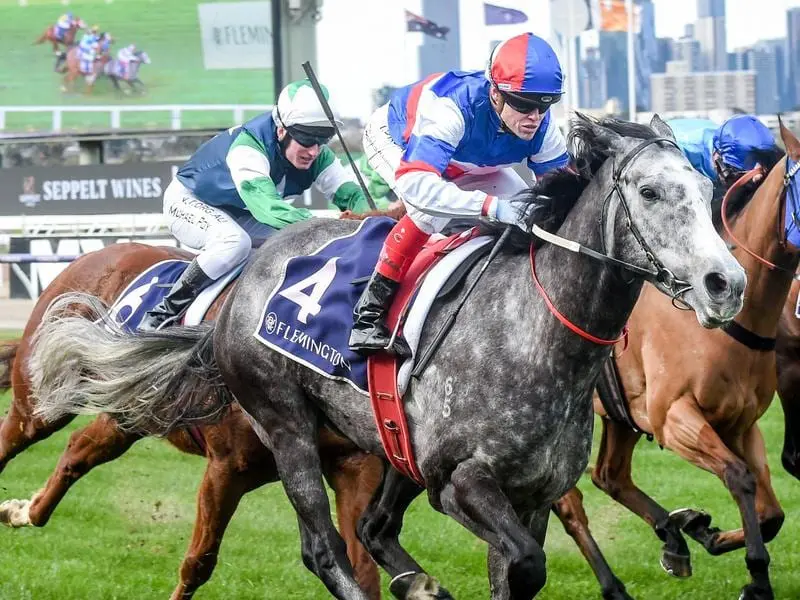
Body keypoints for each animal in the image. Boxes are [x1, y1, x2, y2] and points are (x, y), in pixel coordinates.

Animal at [0, 243, 384, 600]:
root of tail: (92, 256)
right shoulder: (228, 468)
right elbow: (199, 561)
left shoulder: (352, 466)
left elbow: (364, 569)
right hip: (40, 399)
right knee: (14, 438)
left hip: (129, 412)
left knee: (79, 448)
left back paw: (23, 511)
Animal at [560, 118, 800, 600]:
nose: (728, 288)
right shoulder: (674, 417)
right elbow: (739, 477)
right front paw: (755, 575)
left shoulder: (742, 424)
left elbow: (771, 514)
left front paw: (704, 531)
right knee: (569, 500)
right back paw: (614, 582)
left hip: (620, 415)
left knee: (610, 475)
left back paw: (673, 535)